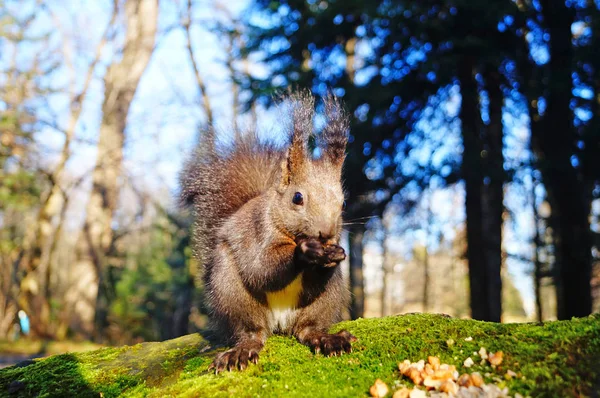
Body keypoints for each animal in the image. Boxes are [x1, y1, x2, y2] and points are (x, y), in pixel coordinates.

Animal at [180, 93, 354, 374]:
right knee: (252, 332)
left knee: (308, 329)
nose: (326, 234)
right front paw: (304, 252)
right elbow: (261, 269)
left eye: (344, 203)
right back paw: (241, 350)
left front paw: (335, 254)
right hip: (232, 293)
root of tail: (280, 323)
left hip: (327, 299)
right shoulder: (258, 233)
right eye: (297, 198)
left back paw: (326, 339)